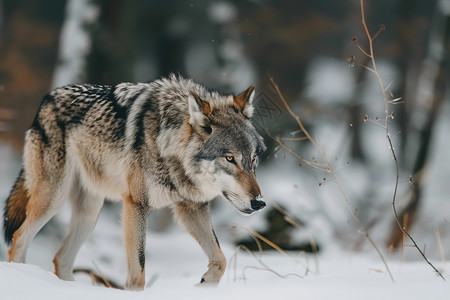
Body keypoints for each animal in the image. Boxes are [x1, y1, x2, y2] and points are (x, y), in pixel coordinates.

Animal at [1, 74, 268, 290]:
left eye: (253, 160)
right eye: (230, 159)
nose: (260, 203)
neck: (167, 145)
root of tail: (47, 98)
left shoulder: (191, 206)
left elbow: (220, 259)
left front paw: (205, 285)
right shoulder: (136, 204)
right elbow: (138, 273)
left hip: (90, 215)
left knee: (61, 258)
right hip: (54, 199)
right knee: (19, 240)